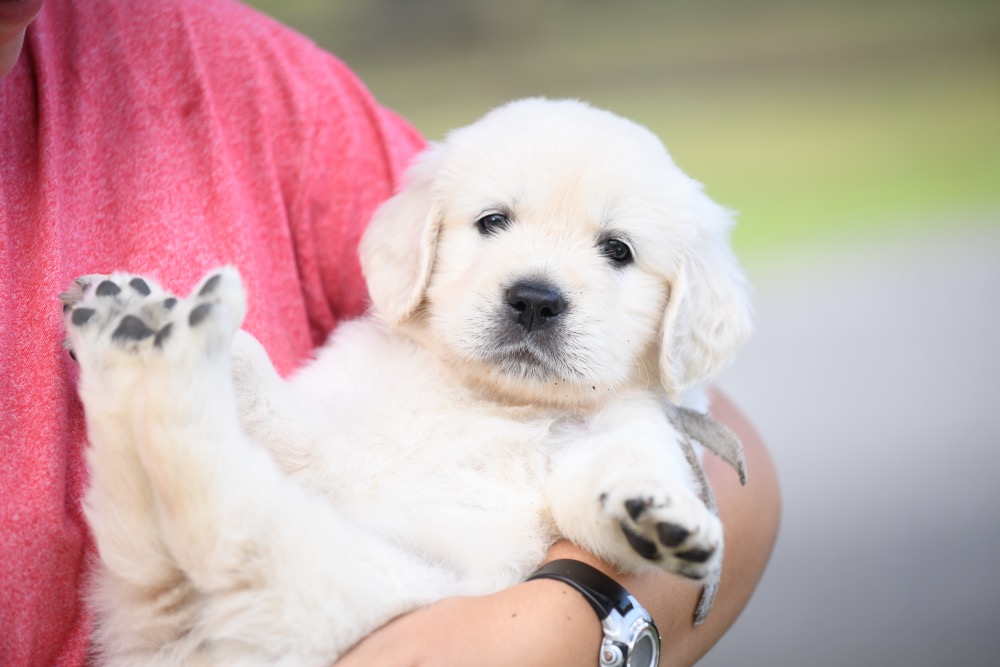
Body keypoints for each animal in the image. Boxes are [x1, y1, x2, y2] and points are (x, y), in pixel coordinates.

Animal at [62, 96, 752, 664]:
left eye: (618, 250)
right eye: (492, 221)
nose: (534, 300)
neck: (485, 394)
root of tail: (177, 630)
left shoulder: (619, 432)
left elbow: (613, 472)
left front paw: (655, 515)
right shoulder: (328, 429)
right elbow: (272, 405)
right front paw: (222, 346)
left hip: (336, 580)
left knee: (215, 504)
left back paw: (150, 332)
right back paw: (139, 317)